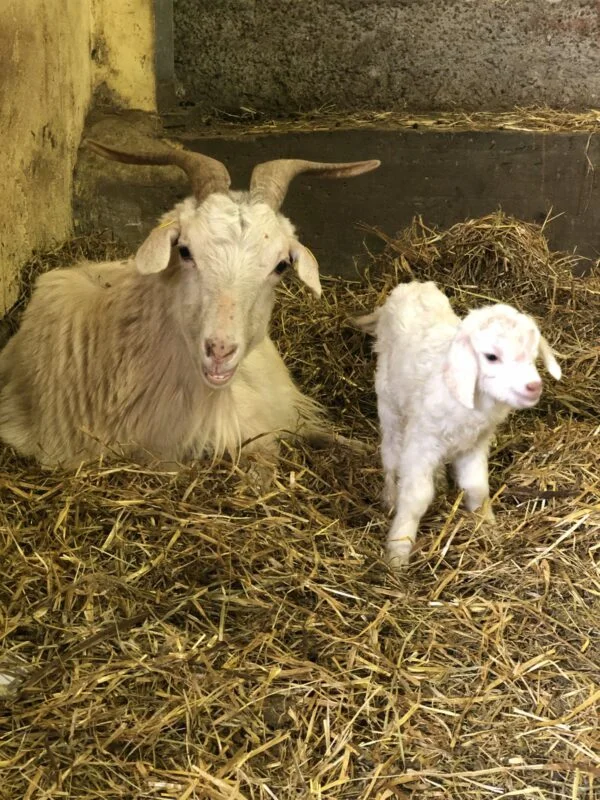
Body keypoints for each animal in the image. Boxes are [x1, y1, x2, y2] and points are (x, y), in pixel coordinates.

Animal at [353, 281, 562, 567]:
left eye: (533, 355)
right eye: (491, 356)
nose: (533, 387)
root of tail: (411, 286)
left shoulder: (476, 442)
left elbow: (477, 488)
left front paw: (487, 527)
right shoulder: (421, 442)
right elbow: (417, 496)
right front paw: (397, 552)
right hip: (388, 401)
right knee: (391, 452)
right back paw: (389, 496)